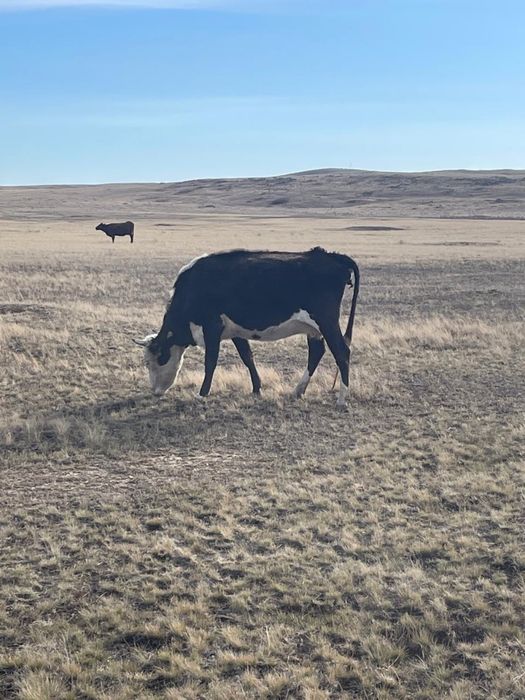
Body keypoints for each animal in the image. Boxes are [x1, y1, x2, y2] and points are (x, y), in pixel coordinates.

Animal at [133, 247, 360, 409]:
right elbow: (247, 357)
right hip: (314, 329)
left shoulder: (212, 327)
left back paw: (342, 399)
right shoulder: (236, 331)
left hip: (326, 322)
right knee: (316, 353)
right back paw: (297, 391)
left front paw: (202, 394)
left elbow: (210, 362)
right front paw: (257, 388)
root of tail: (332, 256)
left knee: (342, 352)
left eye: (153, 361)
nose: (155, 391)